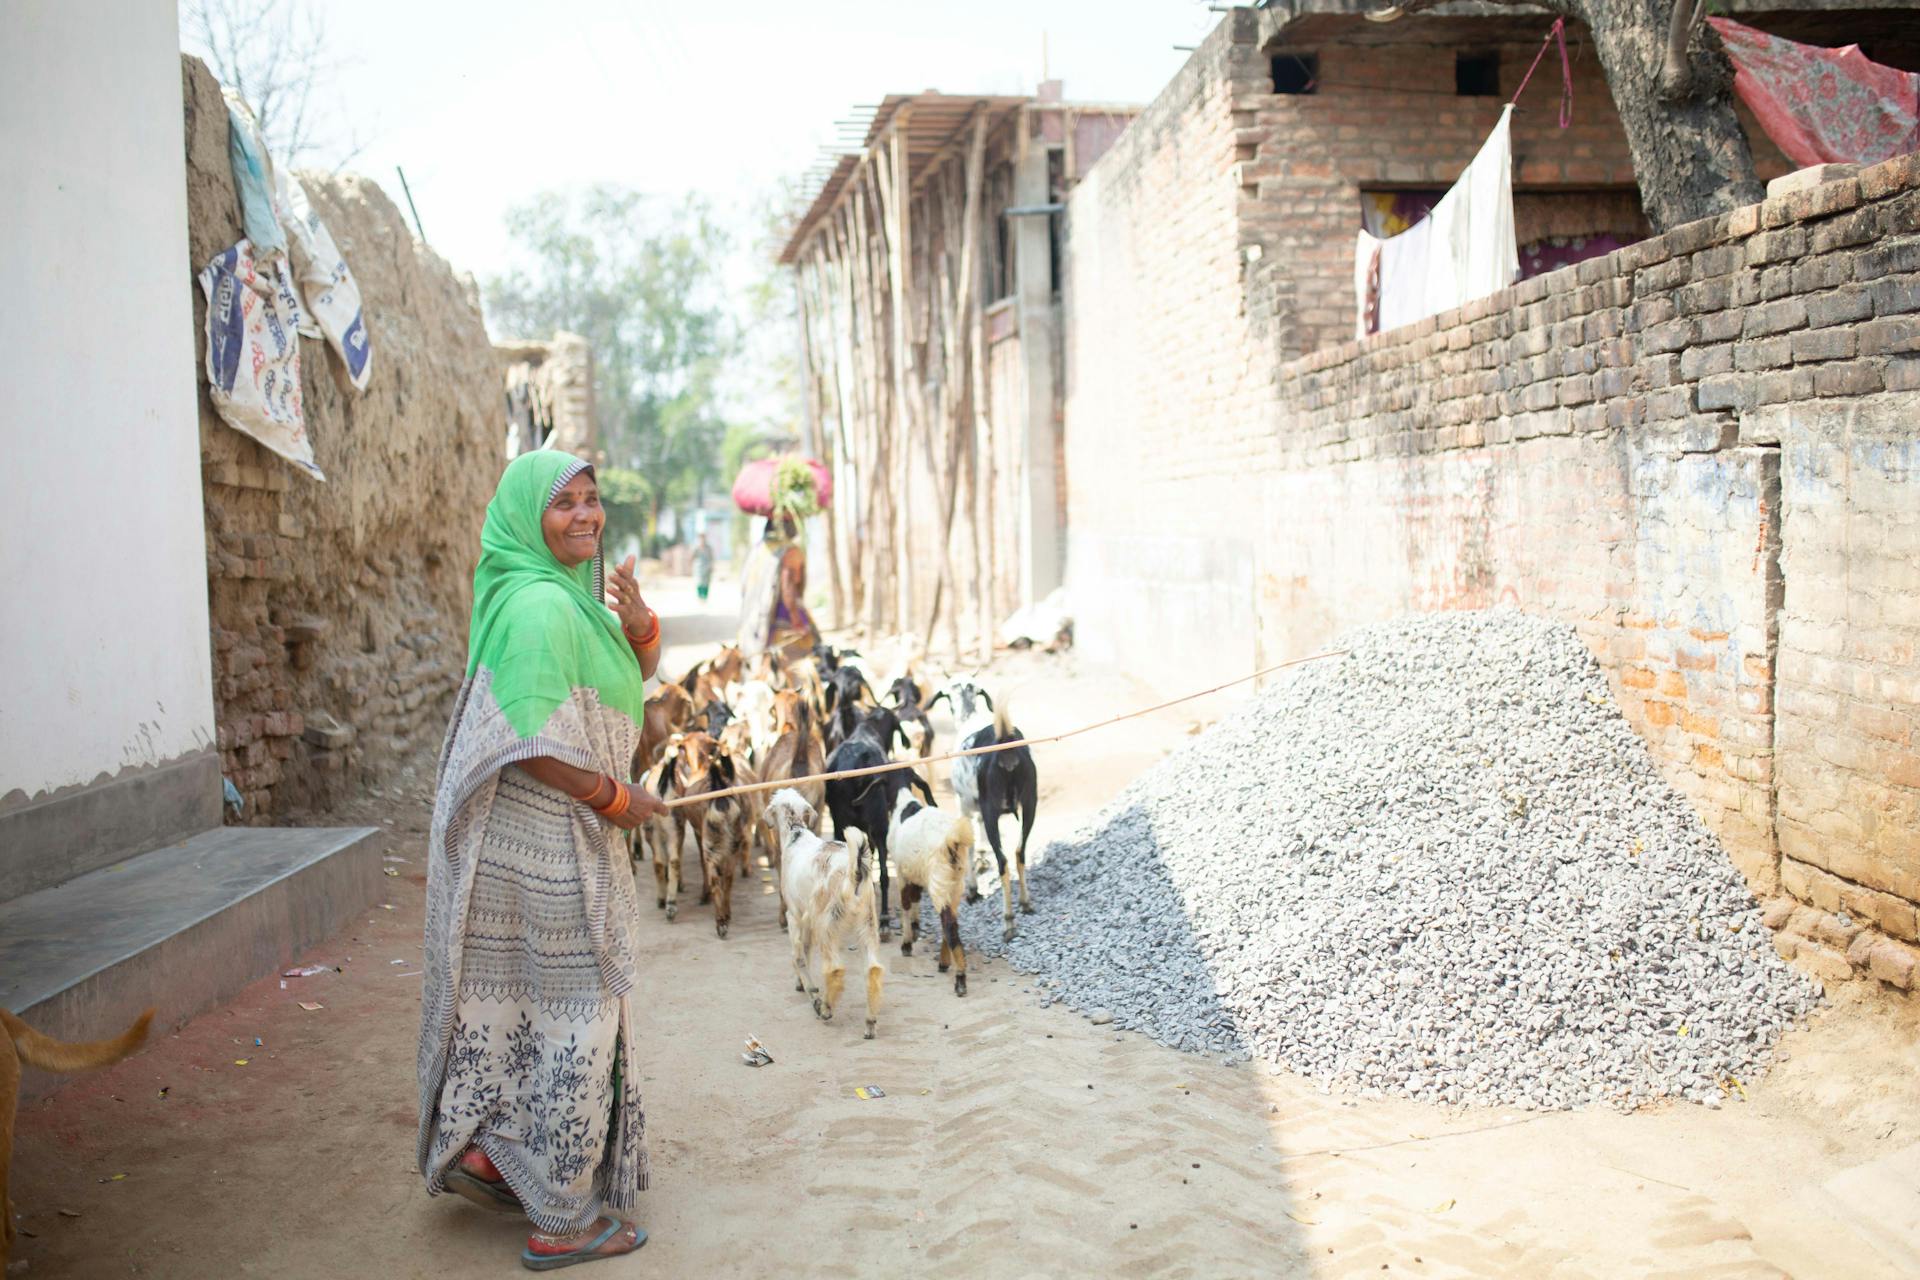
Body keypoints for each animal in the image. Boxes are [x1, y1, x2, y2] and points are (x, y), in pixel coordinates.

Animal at [764, 790, 883, 1043]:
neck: (796, 833)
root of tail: (854, 871)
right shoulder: (806, 920)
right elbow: (805, 952)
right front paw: (801, 983)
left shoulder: (795, 915)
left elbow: (798, 955)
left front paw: (811, 992)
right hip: (867, 922)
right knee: (873, 969)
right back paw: (869, 1022)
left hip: (827, 922)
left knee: (835, 969)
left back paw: (826, 1007)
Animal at [883, 790, 975, 997]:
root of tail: (952, 840)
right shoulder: (916, 874)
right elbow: (915, 897)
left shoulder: (901, 872)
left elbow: (906, 903)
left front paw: (907, 944)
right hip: (954, 884)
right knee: (951, 920)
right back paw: (944, 962)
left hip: (938, 882)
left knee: (948, 923)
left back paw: (960, 979)